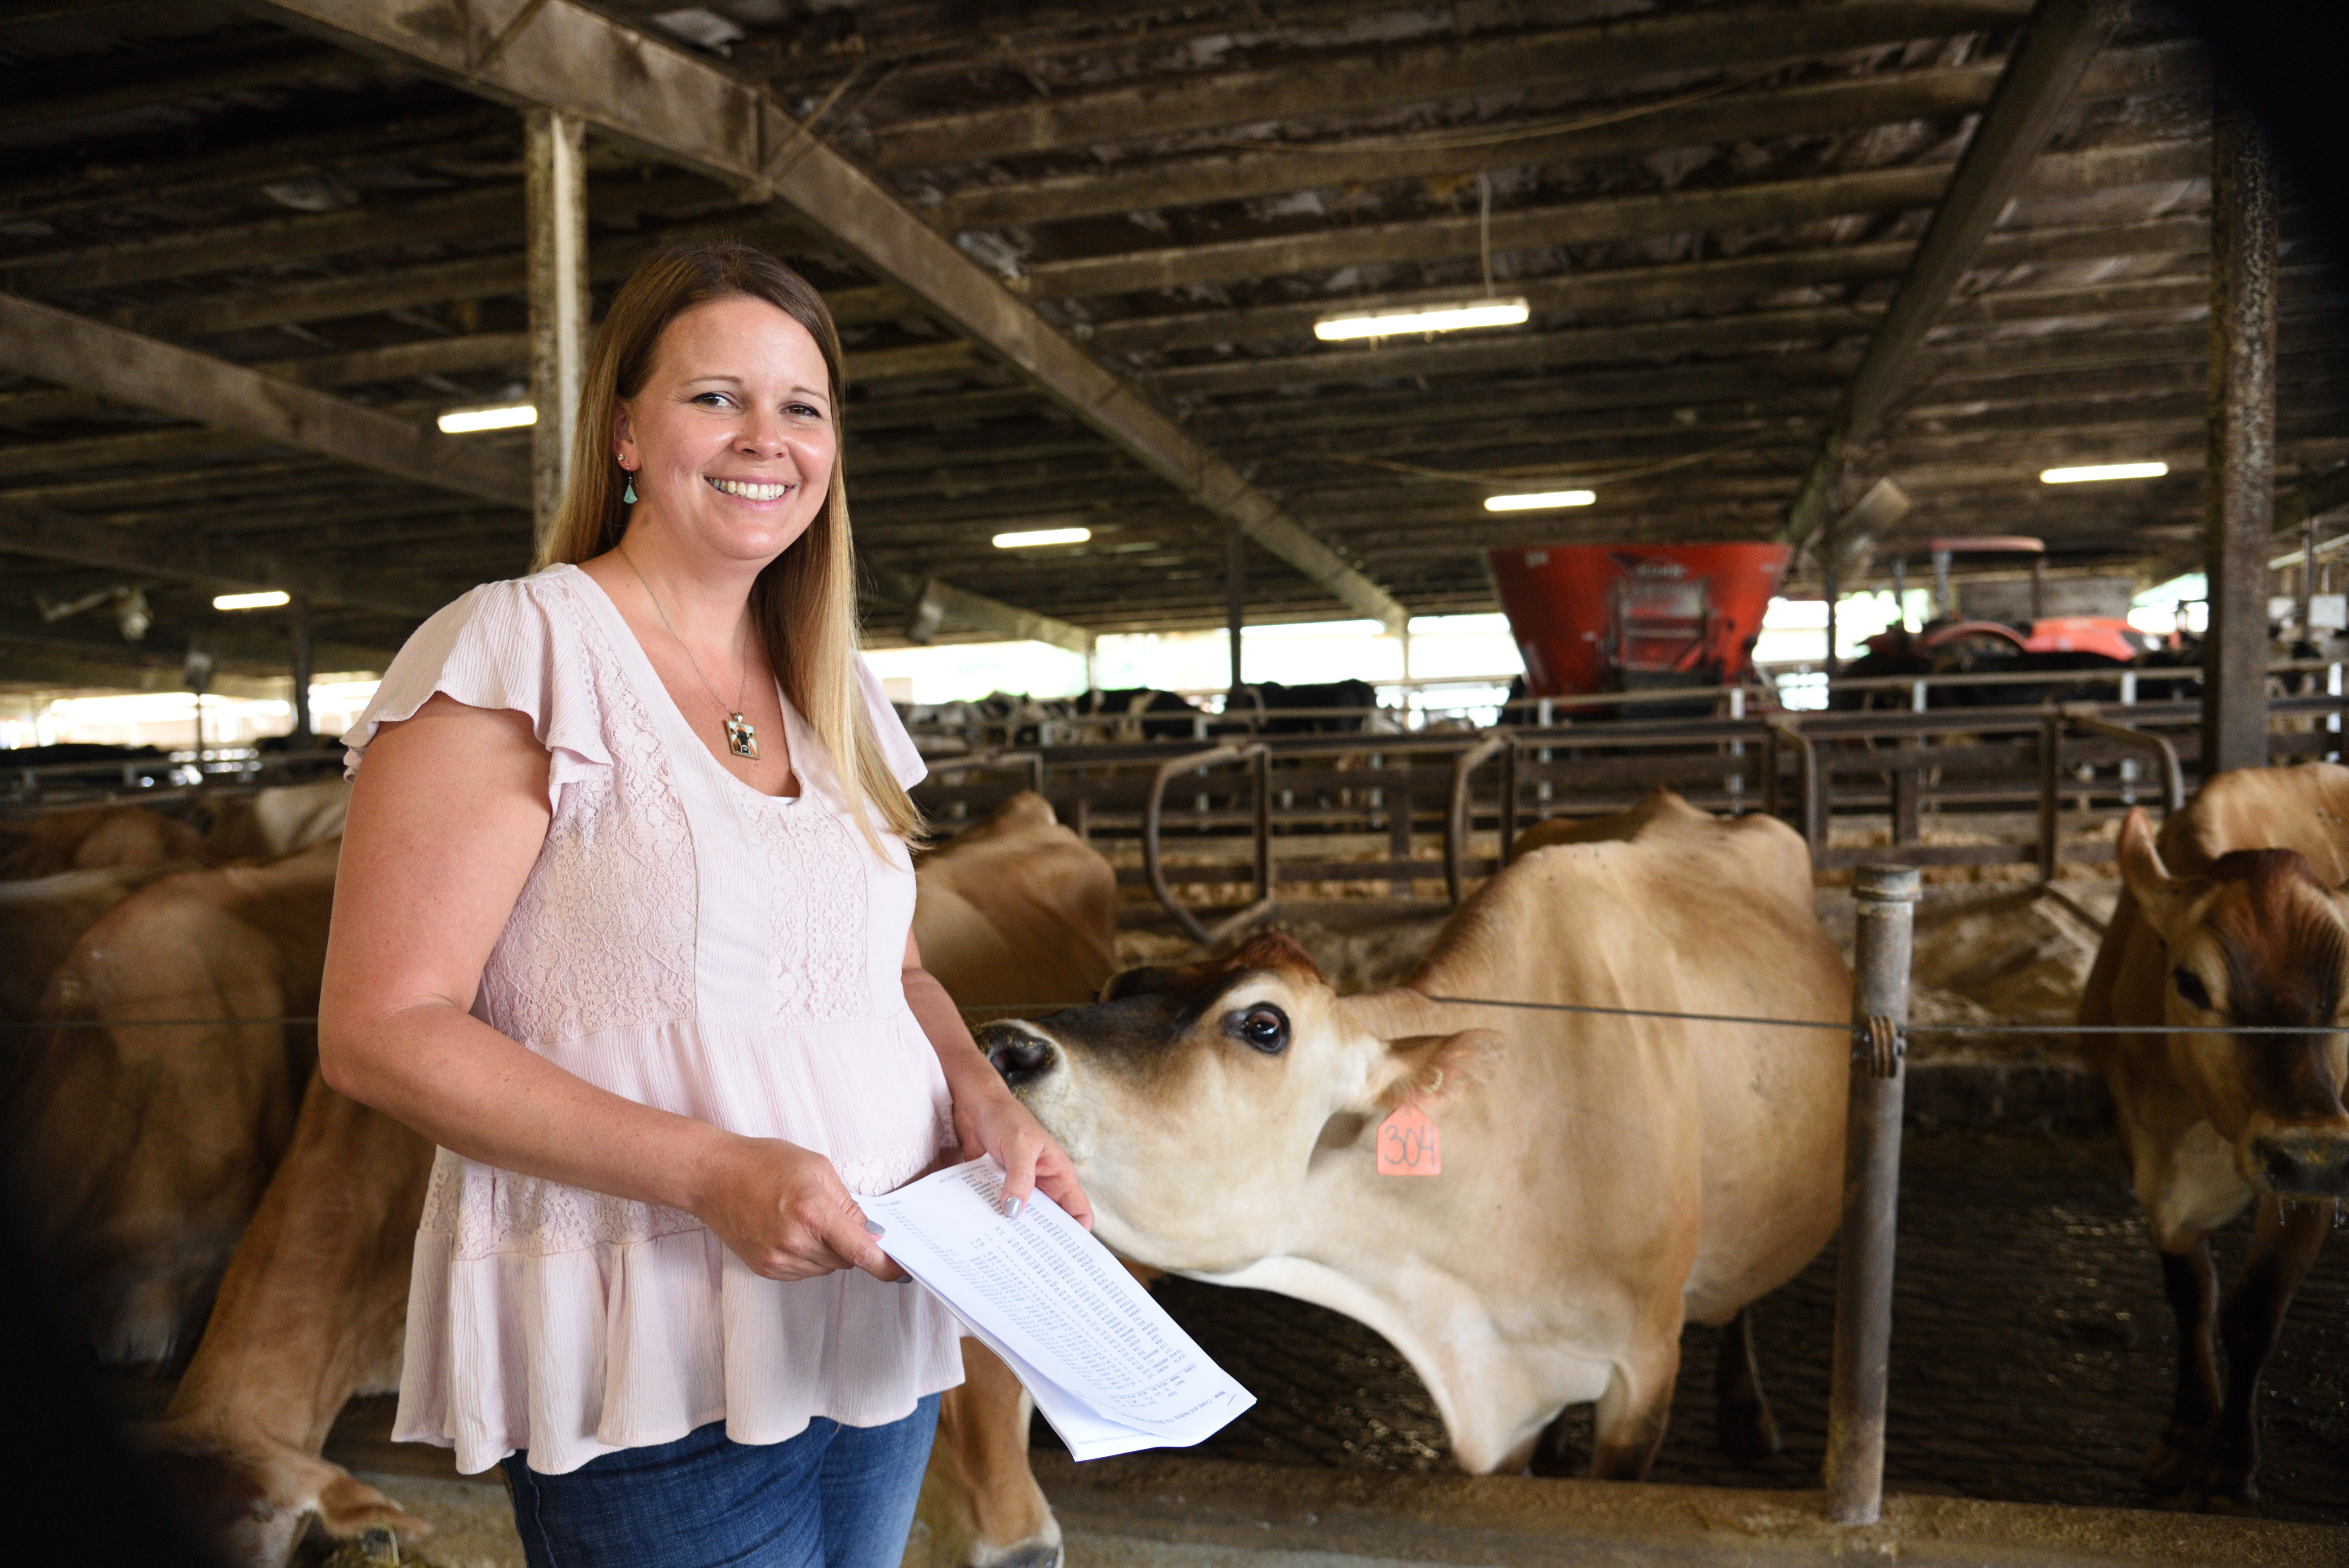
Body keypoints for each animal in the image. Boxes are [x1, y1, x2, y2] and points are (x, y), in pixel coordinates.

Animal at [2076, 765, 2349, 1511]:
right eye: (2191, 983)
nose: (2308, 1149)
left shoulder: (2314, 1175)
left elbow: (2252, 1313)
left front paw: (2228, 1470)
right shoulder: (2140, 1150)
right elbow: (2192, 1295)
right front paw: (2183, 1438)